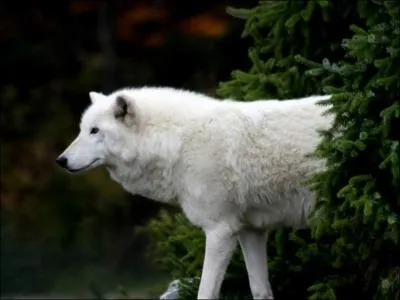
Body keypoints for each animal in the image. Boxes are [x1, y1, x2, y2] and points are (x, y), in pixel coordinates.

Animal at [56, 86, 332, 298]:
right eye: (82, 129)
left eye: (94, 130)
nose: (60, 160)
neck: (177, 143)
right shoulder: (251, 230)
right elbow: (260, 290)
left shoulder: (220, 230)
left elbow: (205, 292)